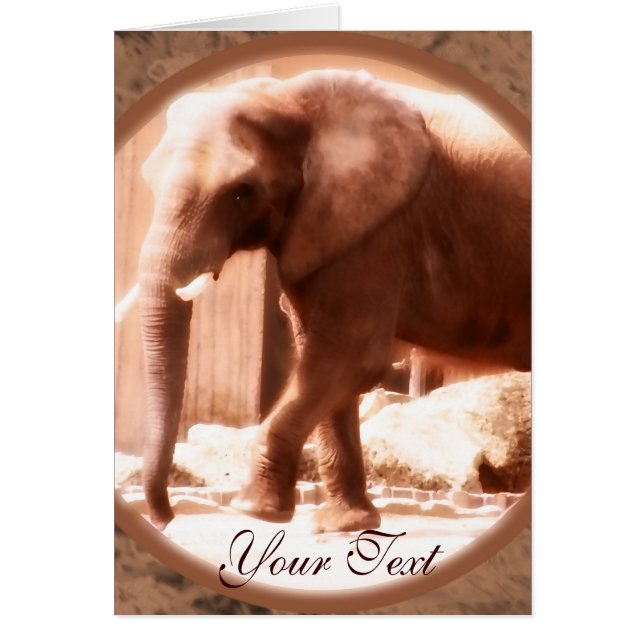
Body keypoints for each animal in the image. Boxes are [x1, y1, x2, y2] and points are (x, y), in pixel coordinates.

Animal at [131, 69, 531, 533]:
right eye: (148, 181)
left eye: (241, 192)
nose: (165, 519)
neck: (287, 99)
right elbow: (321, 355)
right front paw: (345, 524)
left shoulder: (379, 227)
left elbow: (349, 354)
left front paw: (253, 510)